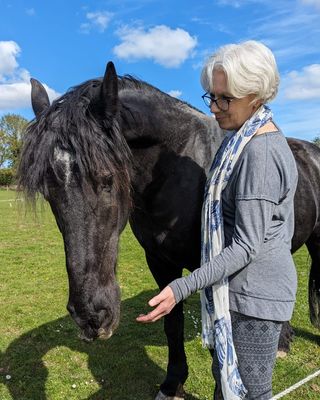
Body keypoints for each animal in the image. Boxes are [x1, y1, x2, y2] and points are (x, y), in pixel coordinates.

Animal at [18, 62, 320, 400]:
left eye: (107, 179)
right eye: (48, 191)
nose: (90, 317)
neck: (177, 172)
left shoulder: (212, 267)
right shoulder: (160, 262)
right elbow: (172, 323)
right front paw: (172, 383)